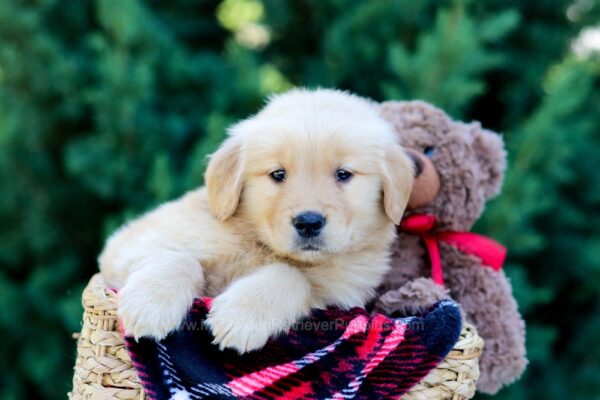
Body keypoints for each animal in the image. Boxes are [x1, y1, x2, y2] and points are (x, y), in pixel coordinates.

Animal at [101, 88, 414, 354]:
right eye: (278, 174)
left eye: (344, 174)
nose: (309, 223)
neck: (259, 244)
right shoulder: (128, 245)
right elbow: (178, 257)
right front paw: (149, 305)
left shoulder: (339, 293)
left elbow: (293, 277)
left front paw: (241, 315)